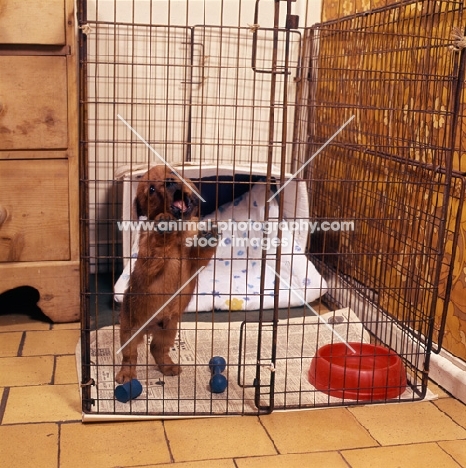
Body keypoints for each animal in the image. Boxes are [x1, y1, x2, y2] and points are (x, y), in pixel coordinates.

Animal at [116, 166, 218, 382]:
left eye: (172, 173)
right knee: (130, 356)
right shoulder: (148, 262)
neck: (178, 235)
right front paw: (163, 226)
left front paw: (208, 235)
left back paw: (168, 367)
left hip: (169, 330)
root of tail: (149, 328)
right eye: (152, 189)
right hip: (129, 331)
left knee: (156, 349)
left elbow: (201, 249)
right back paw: (125, 375)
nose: (170, 182)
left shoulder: (195, 261)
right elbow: (157, 247)